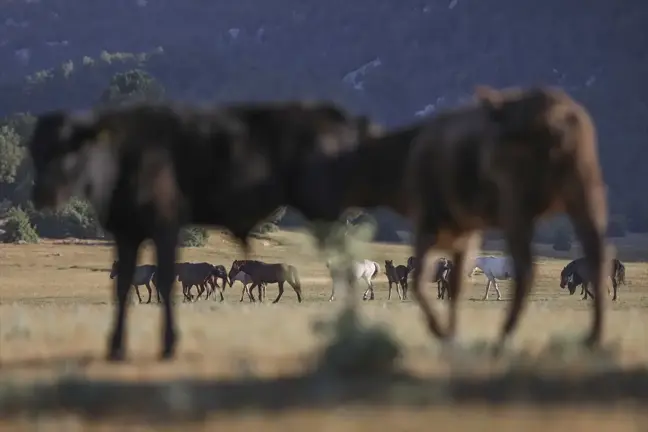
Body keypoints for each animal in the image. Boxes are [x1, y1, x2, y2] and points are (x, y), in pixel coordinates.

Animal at [408, 85, 612, 352]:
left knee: (527, 269)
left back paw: (501, 337)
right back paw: (592, 337)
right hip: (584, 190)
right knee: (597, 254)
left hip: (518, 206)